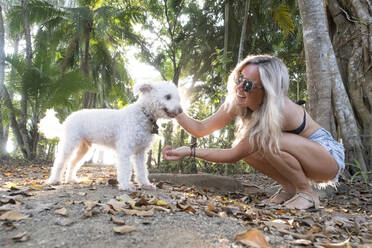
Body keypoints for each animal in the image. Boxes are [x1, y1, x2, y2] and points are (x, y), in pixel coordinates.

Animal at [38, 82, 182, 191]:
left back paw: (71, 179)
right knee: (60, 162)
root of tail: (69, 118)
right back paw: (54, 180)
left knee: (73, 163)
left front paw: (145, 184)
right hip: (70, 143)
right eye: (168, 96)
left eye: (178, 98)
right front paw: (126, 185)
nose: (181, 110)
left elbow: (142, 170)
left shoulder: (140, 152)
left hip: (84, 148)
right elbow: (125, 169)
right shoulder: (125, 149)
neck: (143, 114)